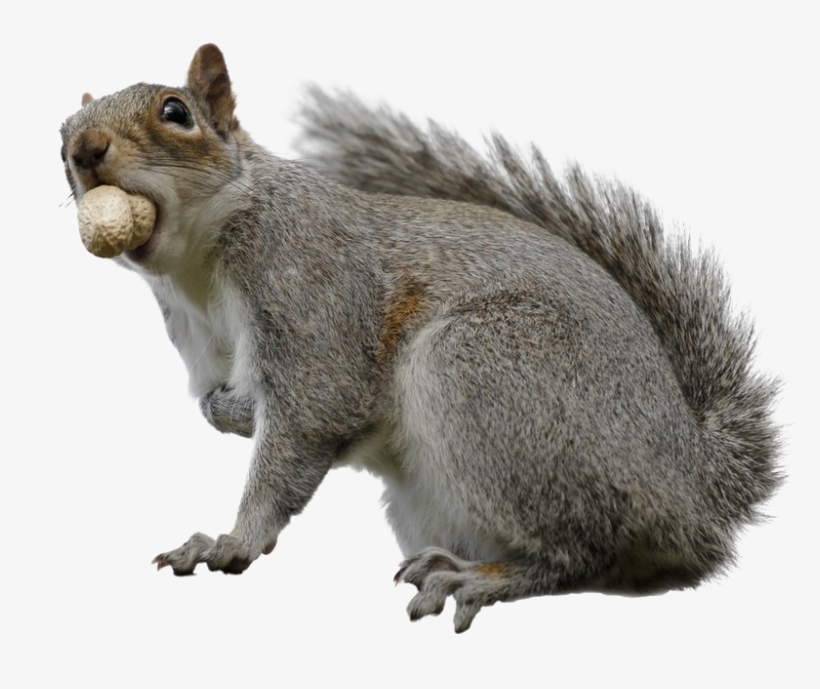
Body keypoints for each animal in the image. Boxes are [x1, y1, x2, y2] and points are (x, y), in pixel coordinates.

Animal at [61, 44, 781, 632]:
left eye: (175, 111)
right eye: (60, 133)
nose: (84, 150)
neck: (195, 267)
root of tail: (690, 477)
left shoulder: (306, 278)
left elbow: (313, 416)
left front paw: (231, 540)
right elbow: (235, 407)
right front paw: (228, 411)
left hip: (484, 373)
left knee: (586, 552)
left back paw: (483, 577)